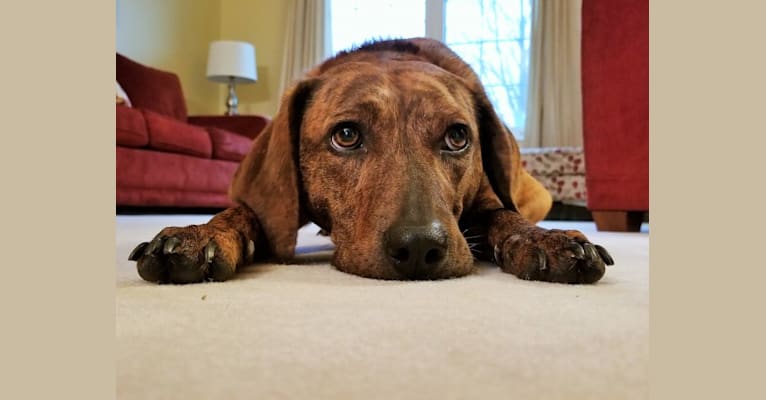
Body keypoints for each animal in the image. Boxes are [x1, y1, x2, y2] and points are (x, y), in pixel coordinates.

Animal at [129, 38, 616, 284]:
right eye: (346, 135)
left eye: (458, 136)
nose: (419, 248)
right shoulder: (274, 203)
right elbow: (243, 213)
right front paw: (201, 234)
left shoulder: (491, 201)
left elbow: (504, 217)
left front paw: (543, 240)